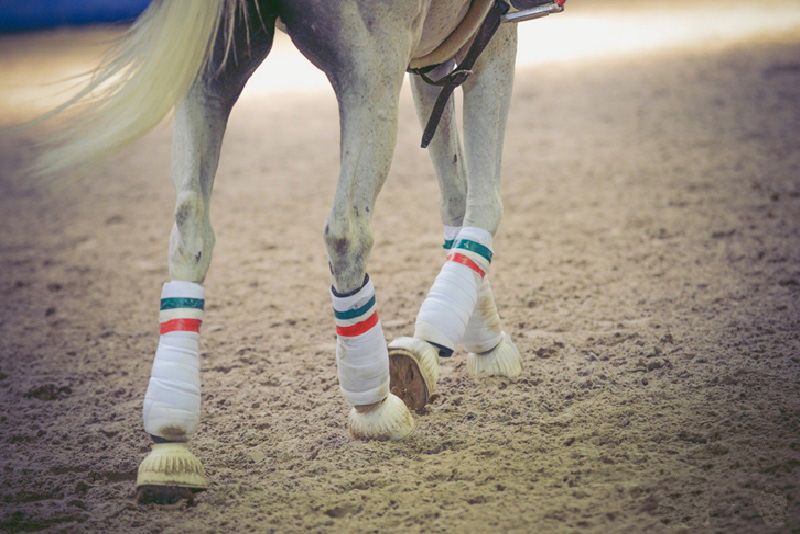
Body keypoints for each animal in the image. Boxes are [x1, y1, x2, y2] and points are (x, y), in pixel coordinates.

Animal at [38, 0, 558, 503]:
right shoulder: (490, 38)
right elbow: (482, 202)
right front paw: (447, 346)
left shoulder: (439, 53)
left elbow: (456, 196)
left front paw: (474, 338)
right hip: (370, 68)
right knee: (347, 232)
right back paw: (374, 406)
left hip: (212, 66)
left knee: (189, 229)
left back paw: (170, 447)